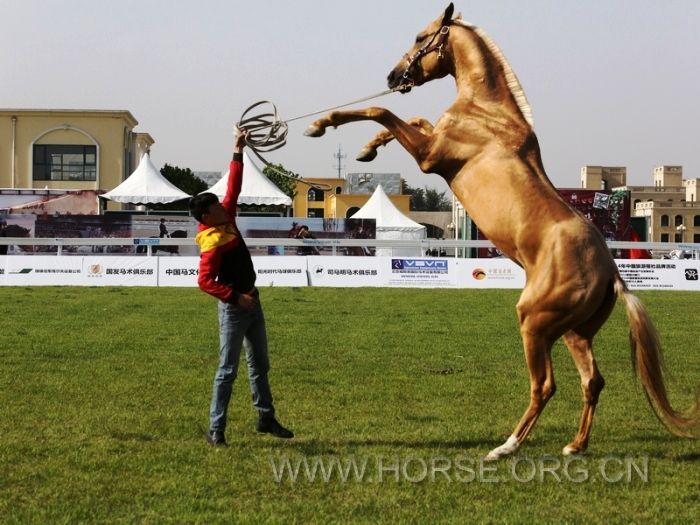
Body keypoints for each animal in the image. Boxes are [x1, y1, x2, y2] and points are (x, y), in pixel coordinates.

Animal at [308, 3, 700, 458]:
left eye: (421, 36)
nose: (393, 77)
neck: (488, 113)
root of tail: (611, 273)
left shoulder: (430, 156)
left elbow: (384, 113)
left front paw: (322, 125)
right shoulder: (431, 142)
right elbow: (408, 118)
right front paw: (367, 149)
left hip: (534, 323)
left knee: (544, 386)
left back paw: (506, 447)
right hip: (573, 332)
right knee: (592, 381)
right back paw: (574, 445)